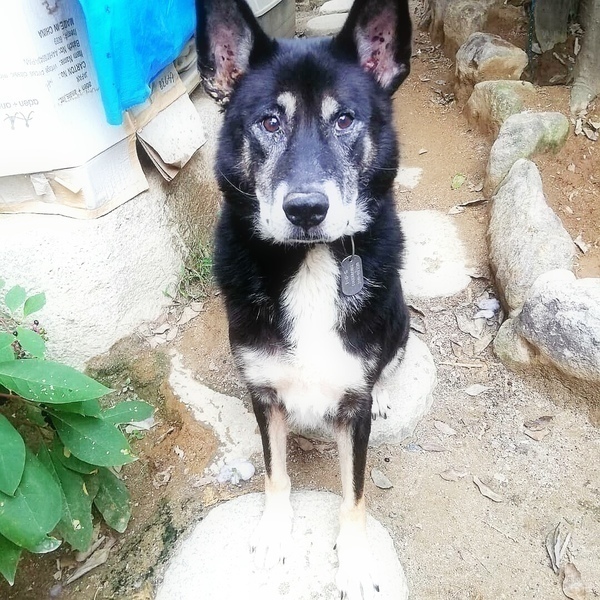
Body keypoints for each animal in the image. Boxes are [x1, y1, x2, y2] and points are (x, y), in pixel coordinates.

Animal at [196, 0, 412, 597]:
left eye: (345, 119)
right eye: (270, 121)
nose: (307, 209)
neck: (310, 262)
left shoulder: (352, 410)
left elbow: (354, 493)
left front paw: (356, 560)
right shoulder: (264, 393)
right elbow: (276, 472)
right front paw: (274, 532)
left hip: (401, 317)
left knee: (394, 359)